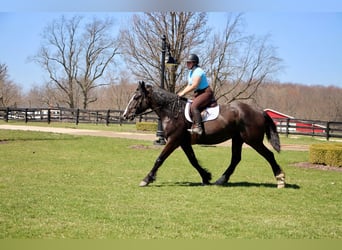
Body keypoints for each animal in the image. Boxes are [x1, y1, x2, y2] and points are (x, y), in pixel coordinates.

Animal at [123, 81, 286, 188]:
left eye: (136, 97)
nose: (125, 115)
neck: (172, 111)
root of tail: (259, 110)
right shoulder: (183, 142)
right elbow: (193, 160)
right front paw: (206, 177)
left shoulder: (174, 140)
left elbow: (159, 159)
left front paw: (146, 179)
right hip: (238, 139)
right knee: (235, 159)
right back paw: (221, 180)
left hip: (253, 140)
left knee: (269, 155)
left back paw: (280, 179)